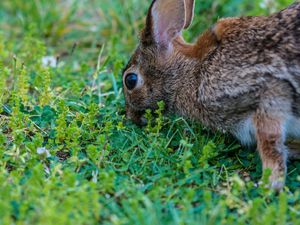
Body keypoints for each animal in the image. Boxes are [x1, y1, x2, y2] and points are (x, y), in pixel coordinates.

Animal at [122, 0, 300, 190]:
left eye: (130, 80)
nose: (131, 117)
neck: (192, 72)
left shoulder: (270, 93)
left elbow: (270, 146)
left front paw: (268, 185)